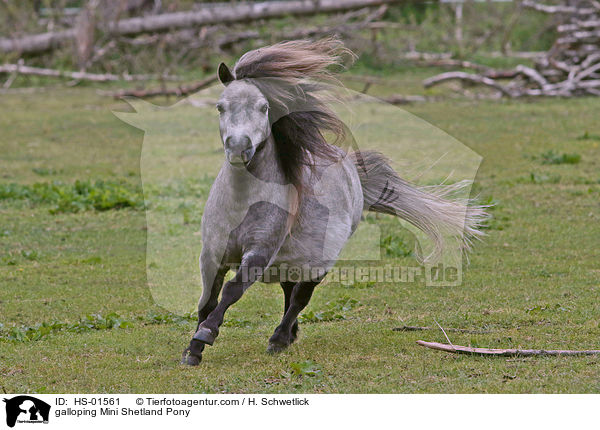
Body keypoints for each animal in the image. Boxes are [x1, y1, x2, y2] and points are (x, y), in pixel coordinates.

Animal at [180, 38, 486, 364]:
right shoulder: (212, 254)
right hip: (292, 258)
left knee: (300, 297)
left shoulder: (259, 254)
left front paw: (204, 336)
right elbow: (207, 301)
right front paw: (192, 350)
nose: (239, 148)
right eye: (220, 106)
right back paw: (289, 335)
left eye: (264, 108)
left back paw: (279, 338)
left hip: (318, 261)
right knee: (289, 291)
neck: (242, 204)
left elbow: (231, 292)